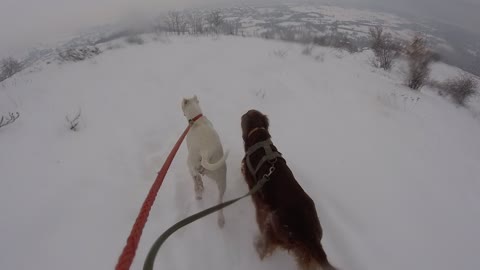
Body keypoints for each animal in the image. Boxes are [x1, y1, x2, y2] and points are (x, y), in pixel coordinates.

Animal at [183, 96, 230, 227]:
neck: (197, 119)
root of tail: (206, 152)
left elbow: (196, 178)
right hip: (221, 177)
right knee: (219, 200)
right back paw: (220, 220)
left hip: (190, 163)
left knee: (195, 178)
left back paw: (198, 192)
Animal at [240, 109, 338, 270]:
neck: (259, 134)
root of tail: (312, 237)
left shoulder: (253, 184)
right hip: (304, 253)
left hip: (274, 226)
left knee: (267, 247)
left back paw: (258, 248)